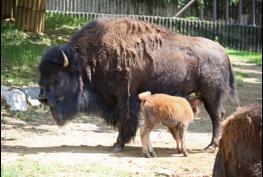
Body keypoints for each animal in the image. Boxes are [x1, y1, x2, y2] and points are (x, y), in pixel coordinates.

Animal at [38, 17, 239, 152]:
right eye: (42, 74)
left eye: (57, 78)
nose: (42, 98)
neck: (87, 62)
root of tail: (223, 52)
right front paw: (118, 143)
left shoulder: (125, 96)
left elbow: (124, 119)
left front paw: (118, 145)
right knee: (217, 115)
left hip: (211, 95)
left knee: (217, 116)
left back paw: (211, 147)